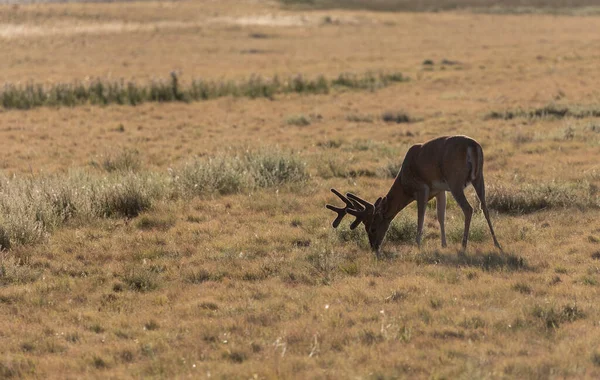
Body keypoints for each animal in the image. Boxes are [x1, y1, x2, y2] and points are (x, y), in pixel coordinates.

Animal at [326, 134, 500, 255]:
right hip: (479, 177)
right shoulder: (440, 190)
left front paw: (418, 245)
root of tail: (473, 146)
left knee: (468, 209)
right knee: (484, 207)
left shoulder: (421, 189)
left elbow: (420, 217)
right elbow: (441, 216)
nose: (374, 247)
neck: (405, 184)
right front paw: (443, 244)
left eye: (372, 228)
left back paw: (463, 246)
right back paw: (497, 244)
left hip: (455, 180)